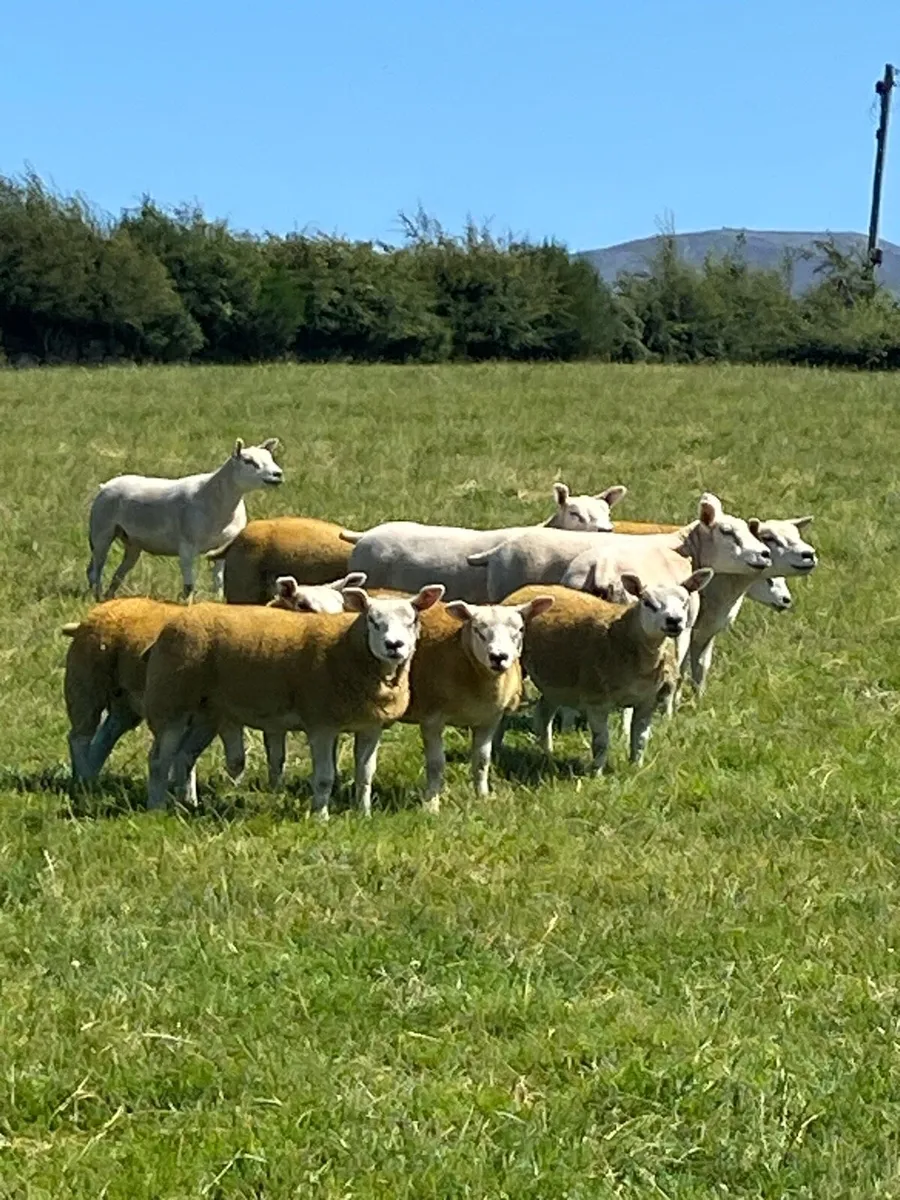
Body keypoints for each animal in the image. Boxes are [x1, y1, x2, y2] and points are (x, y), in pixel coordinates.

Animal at [86, 437, 283, 602]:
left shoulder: (223, 546)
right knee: (95, 569)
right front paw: (187, 605)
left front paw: (218, 601)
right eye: (248, 461)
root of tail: (106, 485)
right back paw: (96, 597)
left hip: (133, 542)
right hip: (101, 531)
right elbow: (189, 584)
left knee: (118, 573)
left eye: (270, 458)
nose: (277, 474)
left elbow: (219, 581)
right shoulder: (187, 546)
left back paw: (109, 598)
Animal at [142, 585, 445, 817]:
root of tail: (185, 614)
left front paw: (364, 814)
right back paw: (156, 807)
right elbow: (324, 778)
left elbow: (365, 775)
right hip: (171, 699)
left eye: (412, 620)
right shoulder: (321, 723)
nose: (394, 646)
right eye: (372, 620)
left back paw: (188, 803)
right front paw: (320, 817)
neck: (347, 649)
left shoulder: (370, 725)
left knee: (184, 755)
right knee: (159, 760)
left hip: (208, 711)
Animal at [502, 570, 713, 773]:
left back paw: (548, 754)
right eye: (647, 603)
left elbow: (640, 740)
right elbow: (601, 742)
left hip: (557, 681)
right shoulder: (596, 701)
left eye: (685, 602)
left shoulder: (648, 701)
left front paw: (636, 768)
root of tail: (529, 588)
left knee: (544, 711)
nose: (674, 621)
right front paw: (596, 773)